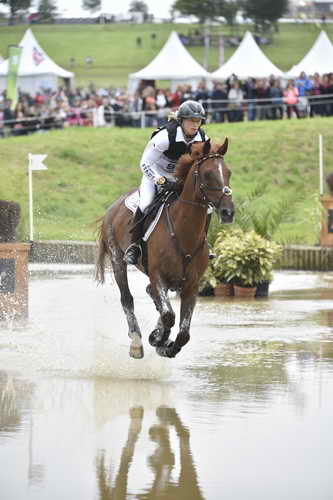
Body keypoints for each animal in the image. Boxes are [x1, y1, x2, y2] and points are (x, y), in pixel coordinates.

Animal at [94, 138, 235, 360]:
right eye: (207, 174)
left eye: (228, 172)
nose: (228, 212)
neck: (184, 233)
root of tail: (113, 207)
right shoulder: (158, 275)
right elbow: (169, 315)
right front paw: (158, 339)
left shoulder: (191, 285)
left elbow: (183, 332)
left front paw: (166, 344)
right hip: (118, 260)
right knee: (127, 299)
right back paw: (136, 342)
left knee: (151, 293)